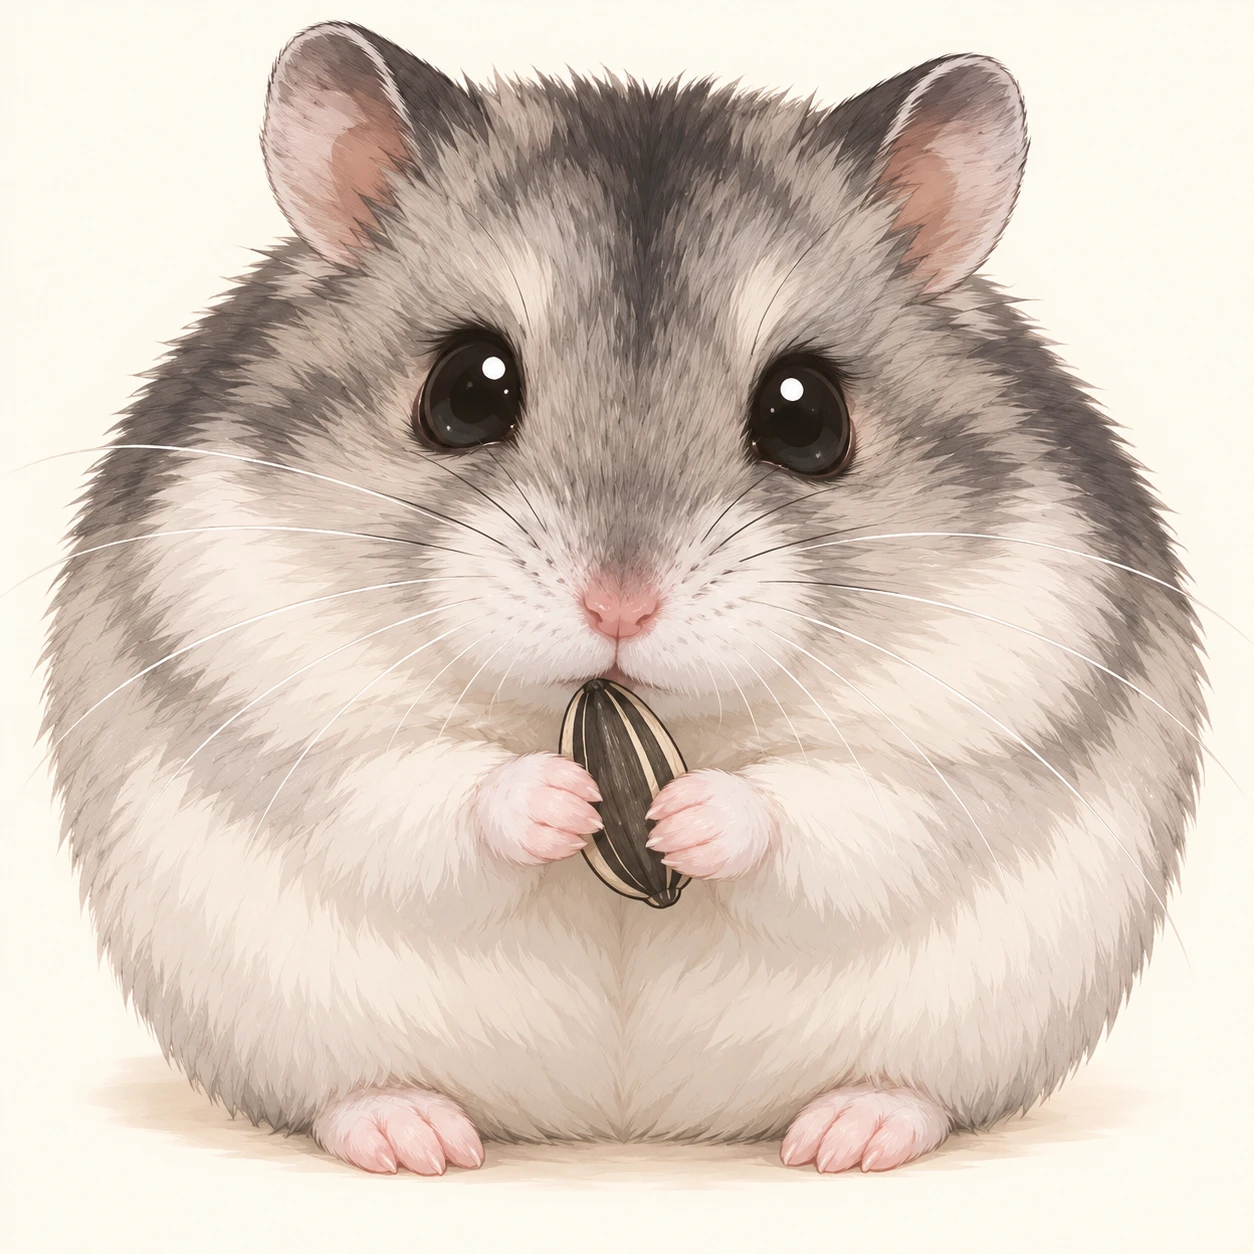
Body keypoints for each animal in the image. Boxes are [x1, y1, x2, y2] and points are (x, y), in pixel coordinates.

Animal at [40, 20, 1206, 1175]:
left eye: (808, 415)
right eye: (467, 389)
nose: (619, 611)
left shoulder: (965, 741)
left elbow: (836, 806)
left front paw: (686, 815)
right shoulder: (281, 711)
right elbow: (416, 787)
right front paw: (561, 799)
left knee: (914, 1084)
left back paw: (848, 1137)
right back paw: (416, 1139)